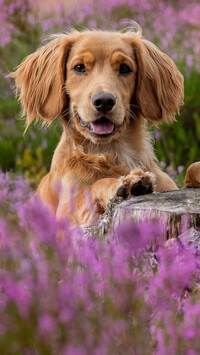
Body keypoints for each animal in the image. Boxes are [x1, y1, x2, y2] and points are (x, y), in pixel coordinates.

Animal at [11, 25, 200, 225]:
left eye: (125, 68)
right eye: (79, 67)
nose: (104, 101)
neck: (114, 151)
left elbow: (190, 169)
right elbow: (95, 186)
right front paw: (126, 183)